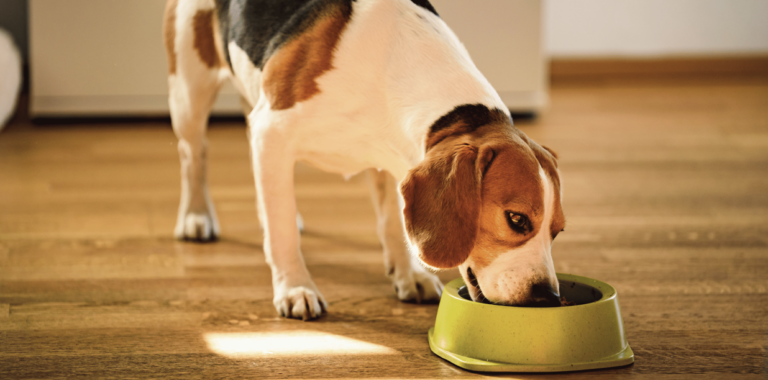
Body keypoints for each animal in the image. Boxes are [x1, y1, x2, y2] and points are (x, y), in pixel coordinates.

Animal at [164, 0, 564, 320]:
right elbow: (282, 234)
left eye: (557, 231)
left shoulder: (395, 160)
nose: (548, 297)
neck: (393, 66)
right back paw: (196, 216)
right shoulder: (272, 130)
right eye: (516, 219)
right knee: (193, 155)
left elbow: (392, 223)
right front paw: (295, 287)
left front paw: (408, 274)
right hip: (189, 93)